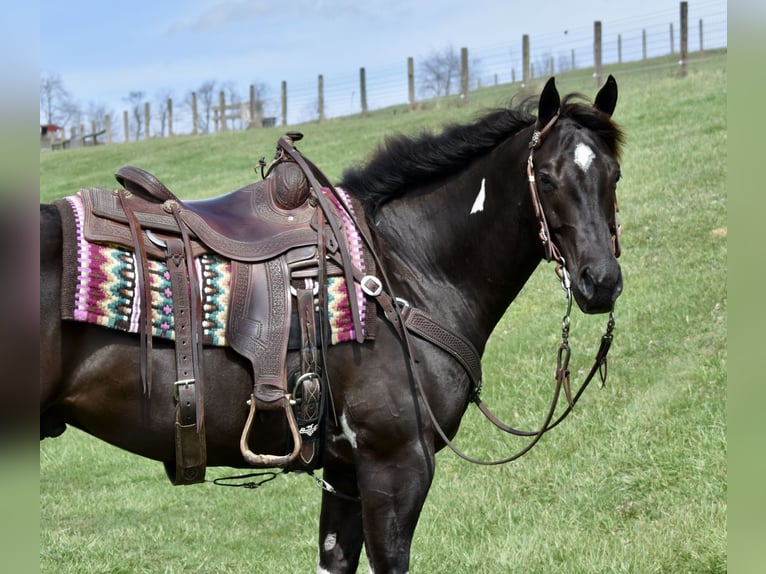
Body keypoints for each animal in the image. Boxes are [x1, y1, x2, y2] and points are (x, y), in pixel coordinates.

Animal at [40, 76, 623, 573]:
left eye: (613, 174)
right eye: (546, 178)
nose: (601, 282)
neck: (405, 267)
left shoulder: (345, 473)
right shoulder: (397, 465)